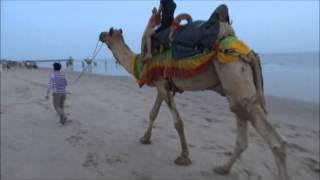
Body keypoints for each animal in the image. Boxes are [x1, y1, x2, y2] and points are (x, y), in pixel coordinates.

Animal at [99, 11, 288, 180]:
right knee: (241, 129)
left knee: (275, 141)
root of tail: (250, 53)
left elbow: (177, 122)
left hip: (234, 75)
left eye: (109, 32)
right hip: (236, 91)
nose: (100, 34)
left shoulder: (162, 85)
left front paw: (183, 157)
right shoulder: (163, 84)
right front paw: (145, 138)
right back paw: (222, 168)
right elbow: (153, 113)